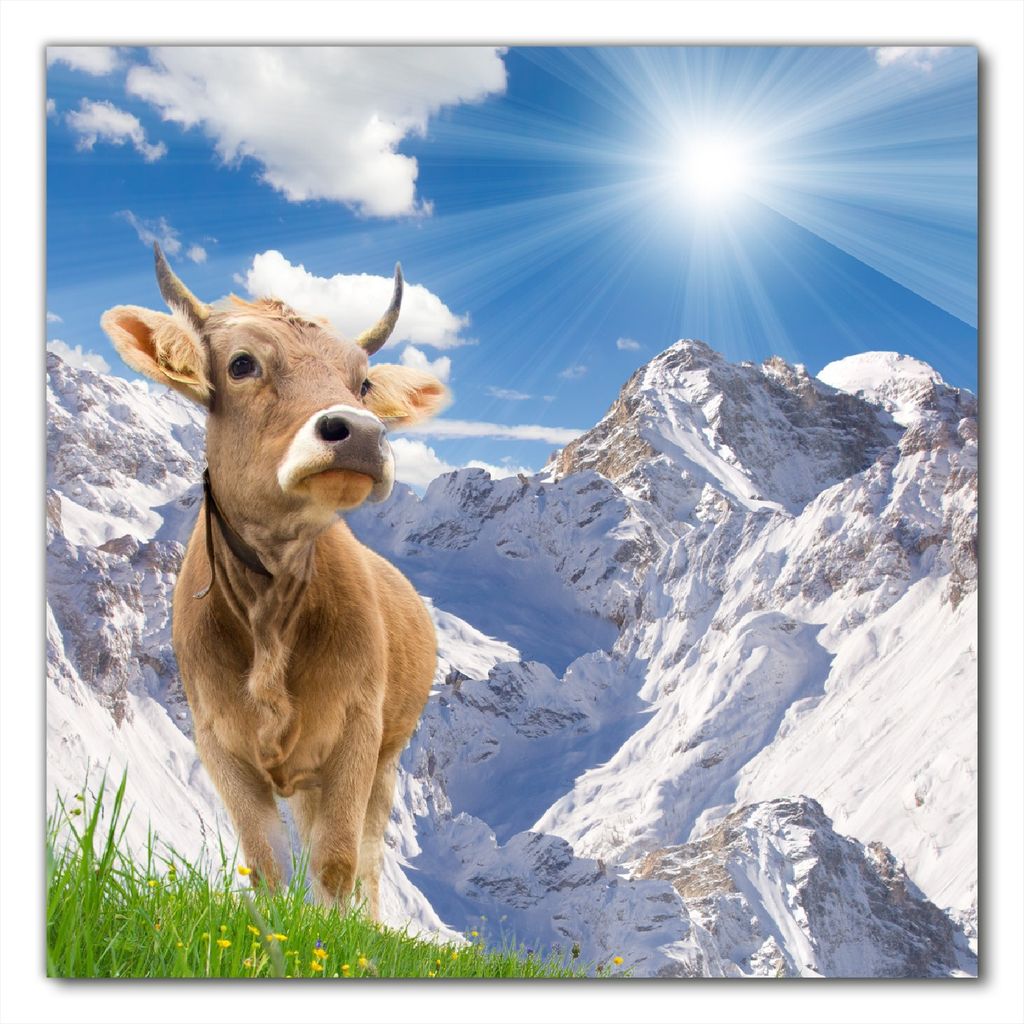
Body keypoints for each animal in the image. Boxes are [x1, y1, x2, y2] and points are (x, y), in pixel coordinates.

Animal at [101, 245, 448, 918]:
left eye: (362, 382)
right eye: (242, 363)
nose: (361, 432)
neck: (270, 611)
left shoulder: (357, 734)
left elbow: (337, 864)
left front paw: (337, 937)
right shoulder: (219, 743)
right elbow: (265, 865)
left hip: (387, 757)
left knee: (368, 857)